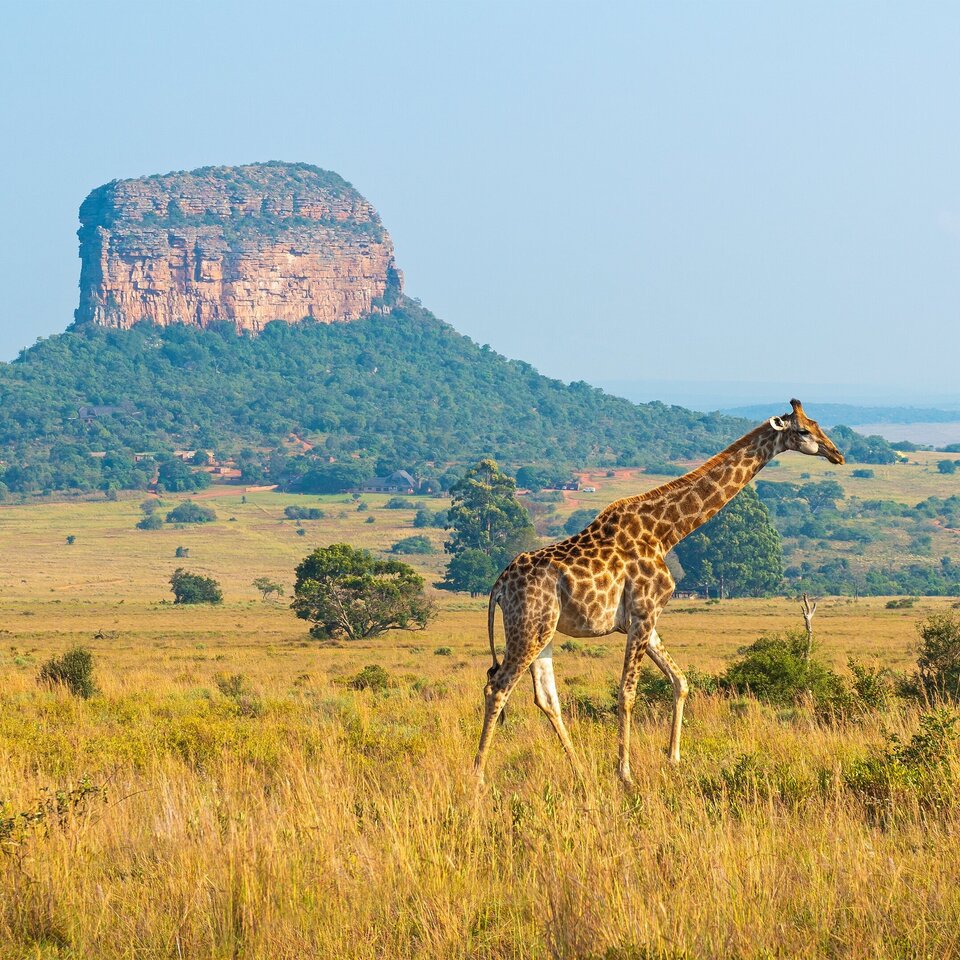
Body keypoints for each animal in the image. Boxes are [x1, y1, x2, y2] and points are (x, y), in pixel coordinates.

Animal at [474, 399, 845, 784]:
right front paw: (625, 773)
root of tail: (498, 585)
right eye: (802, 430)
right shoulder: (642, 613)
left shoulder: (645, 619)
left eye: (817, 424)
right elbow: (627, 693)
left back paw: (580, 771)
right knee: (497, 687)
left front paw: (673, 758)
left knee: (546, 698)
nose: (837, 453)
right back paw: (478, 776)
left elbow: (680, 681)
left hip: (543, 630)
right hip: (529, 627)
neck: (665, 533)